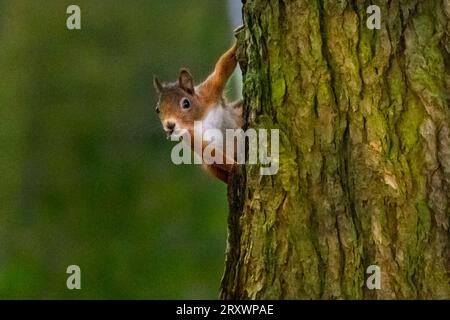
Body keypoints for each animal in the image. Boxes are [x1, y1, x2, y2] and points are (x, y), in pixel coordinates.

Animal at [153, 43, 243, 182]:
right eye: (157, 109)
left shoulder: (209, 92)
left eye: (186, 103)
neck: (199, 118)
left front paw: (237, 44)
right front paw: (236, 166)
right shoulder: (191, 137)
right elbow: (209, 151)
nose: (169, 125)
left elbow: (222, 68)